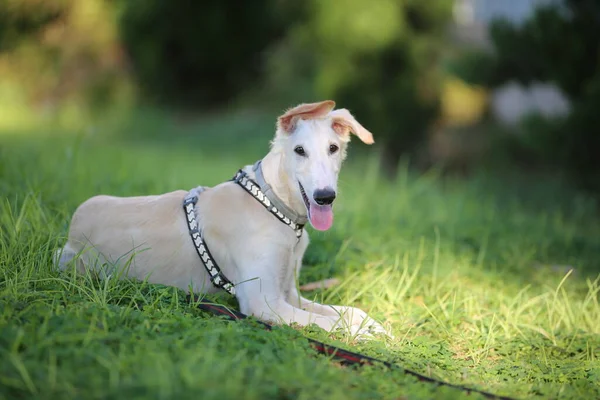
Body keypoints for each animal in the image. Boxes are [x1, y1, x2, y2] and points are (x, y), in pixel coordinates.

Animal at [57, 101, 390, 338]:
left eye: (333, 148)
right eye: (299, 151)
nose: (325, 196)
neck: (272, 204)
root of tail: (70, 235)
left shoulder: (288, 293)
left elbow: (346, 311)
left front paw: (374, 325)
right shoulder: (263, 303)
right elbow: (332, 322)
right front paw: (365, 334)